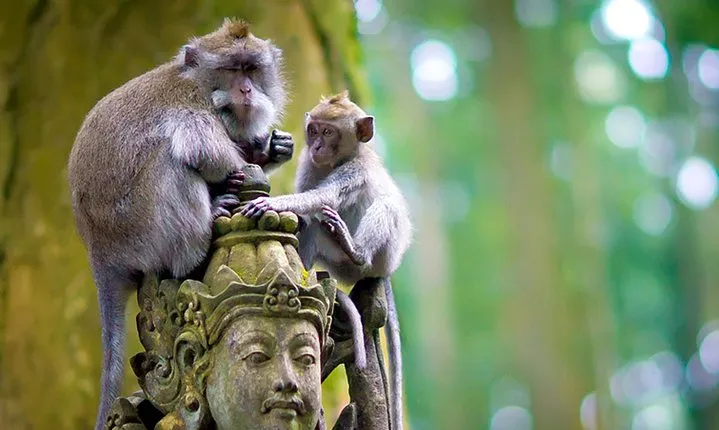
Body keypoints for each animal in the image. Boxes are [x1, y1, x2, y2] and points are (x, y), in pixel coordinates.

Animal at [67, 19, 292, 430]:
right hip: (139, 227)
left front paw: (270, 149)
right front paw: (249, 161)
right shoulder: (191, 106)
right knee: (169, 161)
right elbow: (206, 151)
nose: (247, 89)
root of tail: (98, 251)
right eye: (232, 69)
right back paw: (204, 233)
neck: (201, 85)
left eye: (252, 69)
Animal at [240, 91, 413, 430]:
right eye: (314, 130)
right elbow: (307, 204)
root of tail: (384, 271)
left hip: (384, 255)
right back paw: (306, 274)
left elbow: (324, 196)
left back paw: (356, 250)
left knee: (384, 207)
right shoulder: (309, 163)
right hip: (337, 262)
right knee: (314, 225)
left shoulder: (357, 169)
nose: (318, 145)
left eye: (329, 132)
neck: (338, 160)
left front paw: (271, 203)